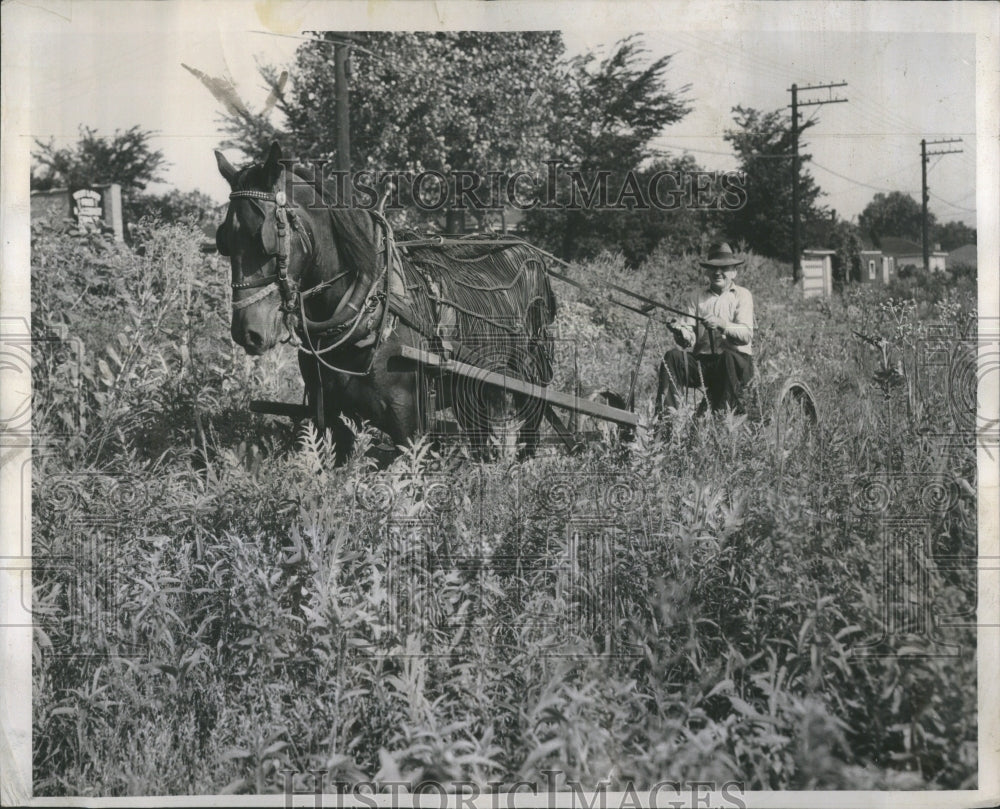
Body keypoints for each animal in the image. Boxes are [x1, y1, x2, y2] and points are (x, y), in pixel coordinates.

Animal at [214, 142, 556, 464]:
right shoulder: (333, 421)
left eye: (265, 239)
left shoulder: (410, 425)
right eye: (224, 242)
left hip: (528, 377)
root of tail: (529, 252)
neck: (368, 309)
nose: (247, 333)